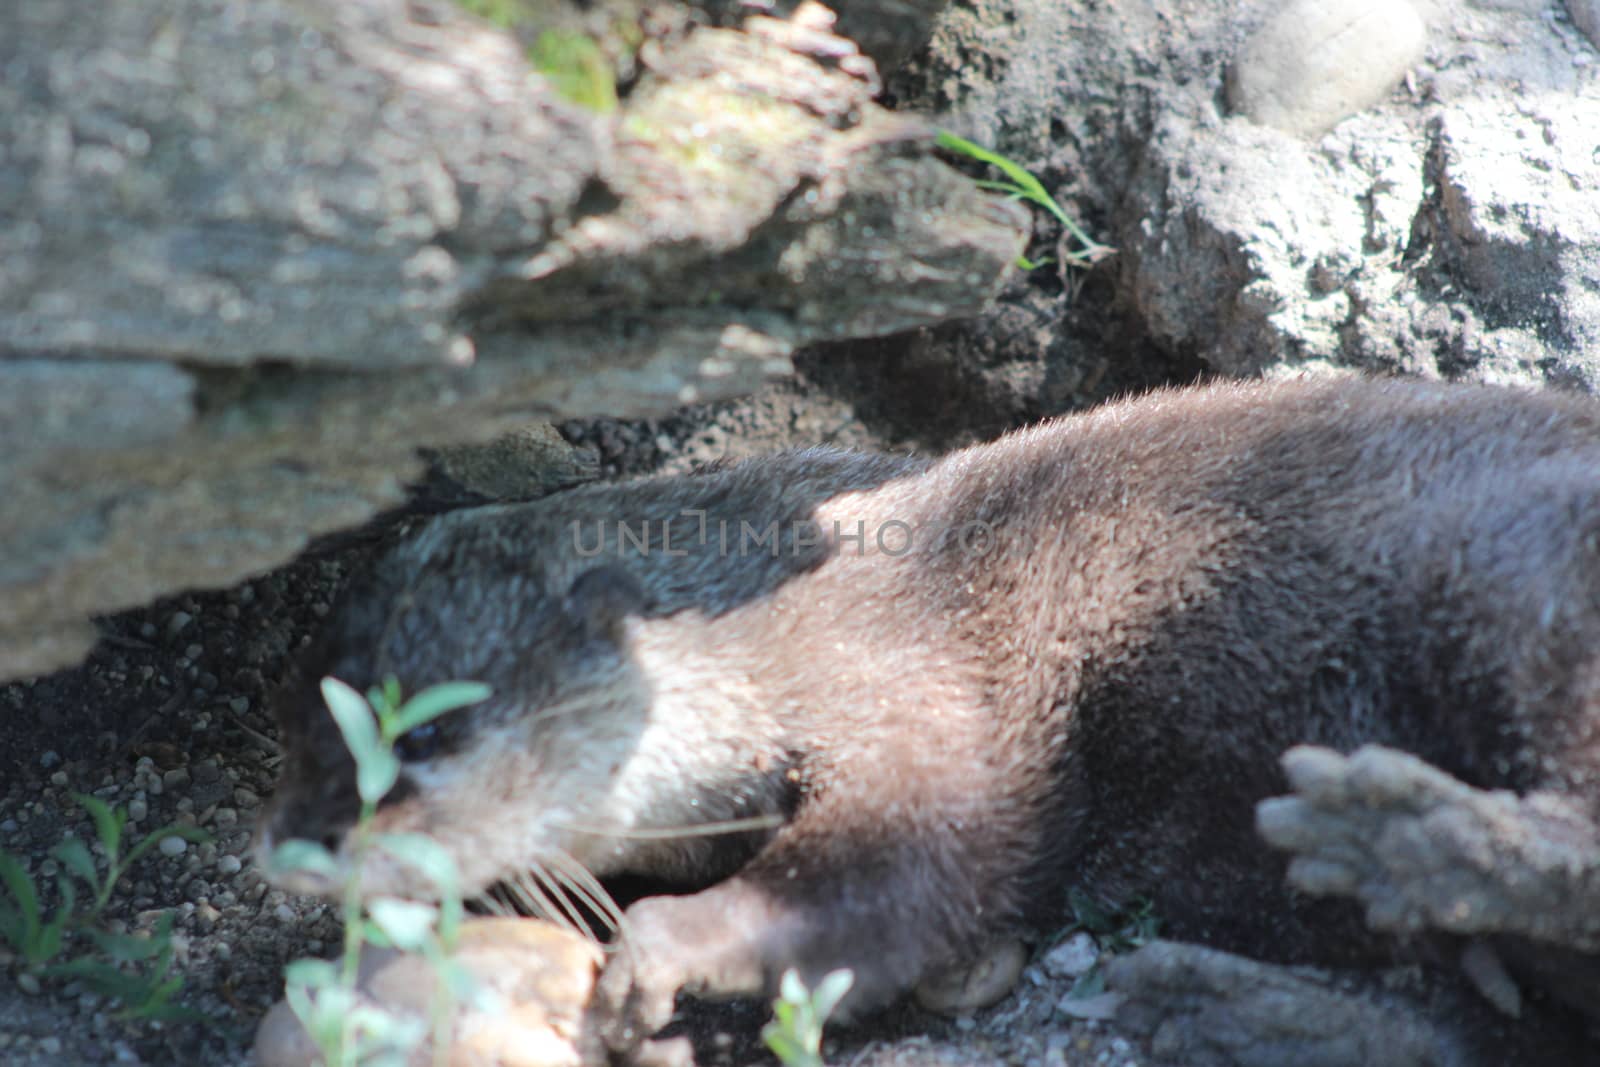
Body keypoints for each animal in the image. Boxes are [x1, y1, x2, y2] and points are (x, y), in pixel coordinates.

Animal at [259, 375, 1600, 1062]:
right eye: (300, 735)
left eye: (423, 735)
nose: (301, 848)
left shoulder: (921, 685)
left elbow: (913, 858)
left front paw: (664, 947)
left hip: (1510, 581)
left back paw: (1390, 835)